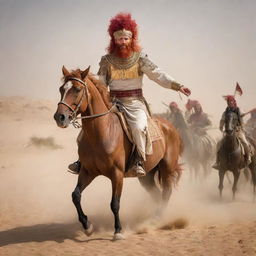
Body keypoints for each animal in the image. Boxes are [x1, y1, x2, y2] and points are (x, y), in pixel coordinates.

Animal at [53, 66, 182, 240]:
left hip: (167, 169)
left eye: (78, 89)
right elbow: (75, 196)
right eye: (62, 89)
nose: (60, 117)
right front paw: (87, 226)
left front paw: (118, 231)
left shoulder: (117, 174)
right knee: (156, 194)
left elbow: (114, 203)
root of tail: (170, 127)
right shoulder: (87, 172)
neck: (102, 132)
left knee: (166, 193)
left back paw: (156, 220)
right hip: (147, 176)